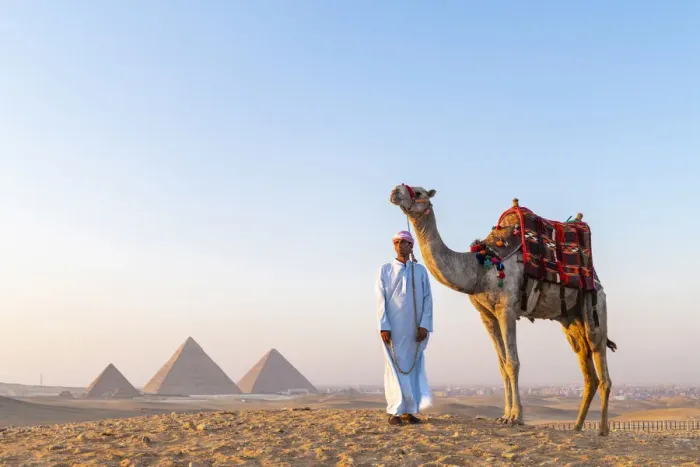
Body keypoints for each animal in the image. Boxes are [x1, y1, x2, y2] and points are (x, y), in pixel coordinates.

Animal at [389, 184, 616, 436]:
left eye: (419, 192)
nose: (395, 191)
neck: (479, 268)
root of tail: (597, 281)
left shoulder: (506, 309)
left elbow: (512, 363)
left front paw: (516, 417)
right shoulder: (487, 315)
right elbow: (501, 365)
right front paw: (504, 415)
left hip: (595, 306)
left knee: (599, 356)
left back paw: (602, 429)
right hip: (570, 320)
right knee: (587, 368)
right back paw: (576, 426)